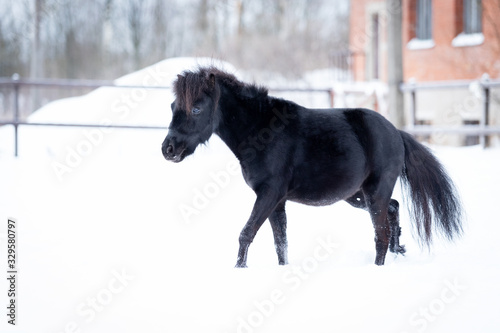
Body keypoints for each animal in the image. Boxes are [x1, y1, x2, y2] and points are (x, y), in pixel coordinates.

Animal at [162, 67, 462, 268]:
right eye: (173, 105)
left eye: (197, 108)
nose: (168, 149)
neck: (262, 132)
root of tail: (396, 133)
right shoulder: (277, 201)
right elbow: (280, 242)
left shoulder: (268, 195)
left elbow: (246, 234)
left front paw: (239, 268)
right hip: (358, 196)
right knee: (393, 209)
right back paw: (398, 249)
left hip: (373, 193)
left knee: (381, 233)